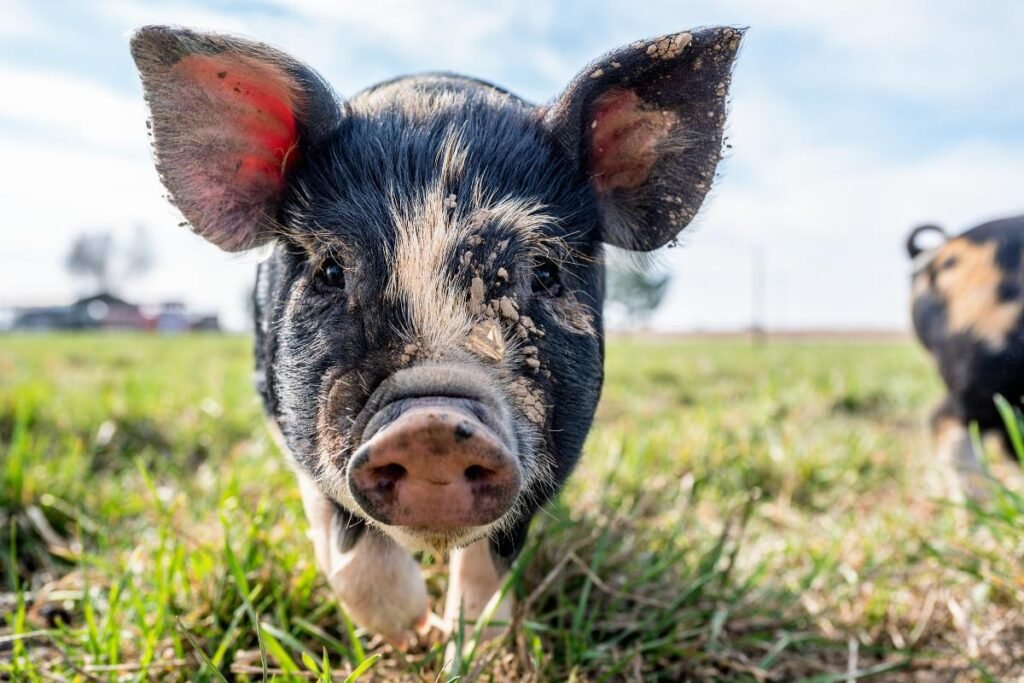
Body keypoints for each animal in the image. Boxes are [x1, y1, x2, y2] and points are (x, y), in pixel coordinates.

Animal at [130, 24, 742, 645]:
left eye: (545, 273)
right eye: (330, 270)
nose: (433, 427)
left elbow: (489, 570)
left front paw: (465, 642)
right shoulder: (290, 421)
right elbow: (348, 549)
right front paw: (414, 633)